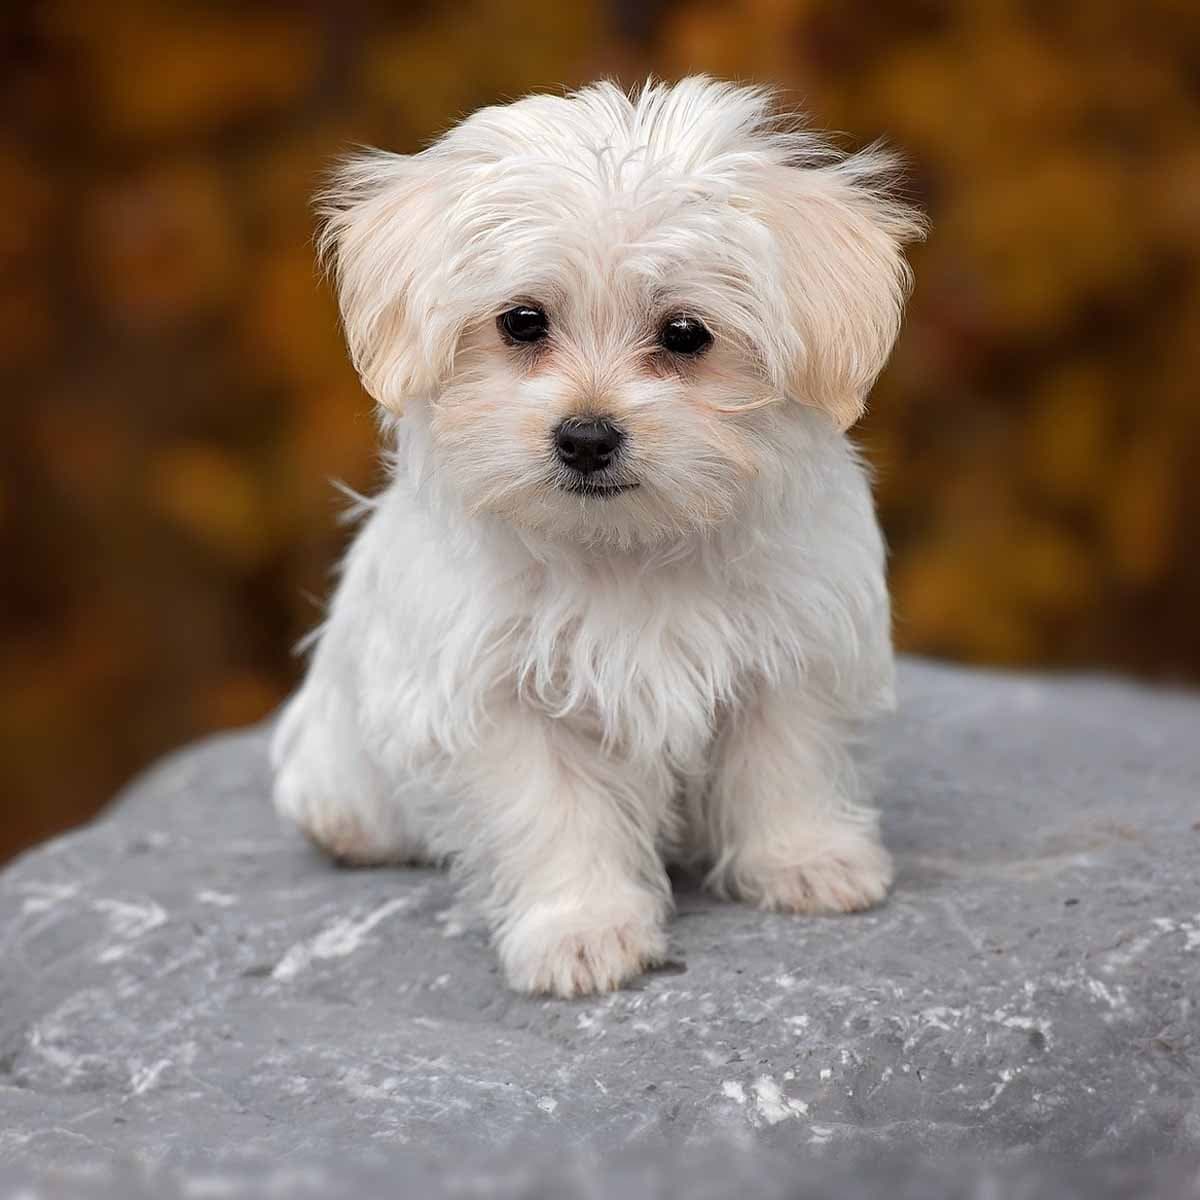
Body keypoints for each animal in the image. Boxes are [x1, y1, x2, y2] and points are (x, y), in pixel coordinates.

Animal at [274, 72, 926, 993]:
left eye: (685, 334)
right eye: (521, 321)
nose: (585, 437)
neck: (626, 548)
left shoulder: (790, 643)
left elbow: (784, 761)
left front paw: (805, 860)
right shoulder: (496, 694)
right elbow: (554, 811)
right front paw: (580, 929)